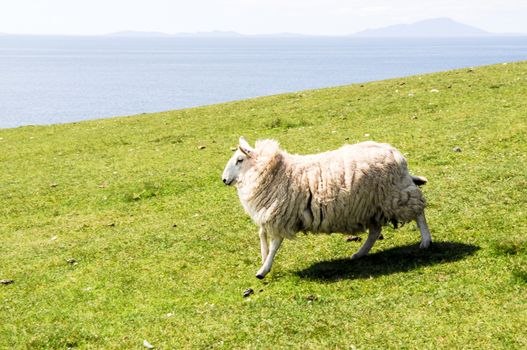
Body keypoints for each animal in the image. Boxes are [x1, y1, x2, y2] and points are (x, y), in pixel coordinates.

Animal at [221, 137, 432, 278]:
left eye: (239, 160)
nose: (223, 179)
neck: (274, 172)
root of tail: (395, 153)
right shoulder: (269, 215)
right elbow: (262, 236)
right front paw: (264, 260)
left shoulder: (281, 215)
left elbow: (274, 244)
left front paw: (263, 269)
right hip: (372, 204)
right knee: (375, 231)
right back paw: (359, 253)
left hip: (395, 195)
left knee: (419, 211)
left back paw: (426, 241)